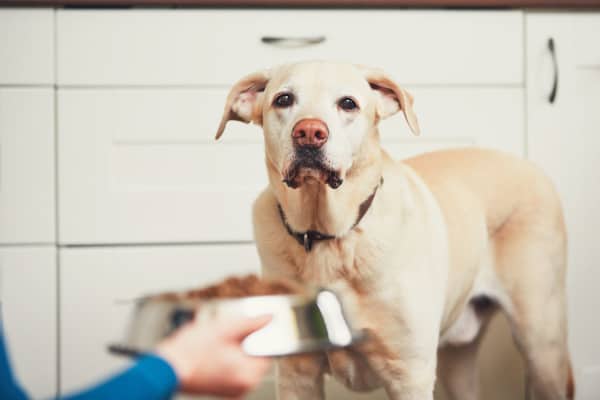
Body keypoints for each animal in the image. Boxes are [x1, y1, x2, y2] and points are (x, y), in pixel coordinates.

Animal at [213, 61, 576, 400]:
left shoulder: (410, 375)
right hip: (458, 361)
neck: (331, 238)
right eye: (283, 99)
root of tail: (529, 165)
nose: (309, 132)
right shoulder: (296, 375)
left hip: (542, 343)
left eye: (348, 103)